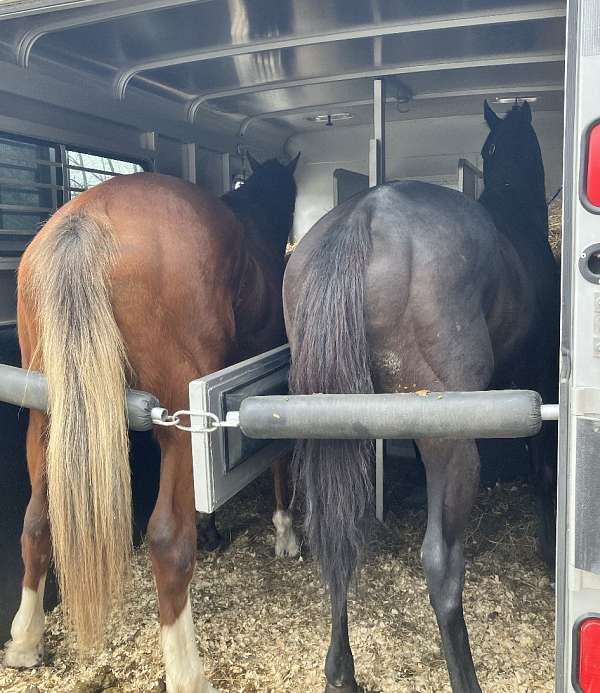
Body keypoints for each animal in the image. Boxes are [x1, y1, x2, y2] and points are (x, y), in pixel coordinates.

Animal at [4, 154, 299, 693]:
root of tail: (88, 219)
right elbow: (278, 464)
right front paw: (285, 535)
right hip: (180, 423)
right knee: (166, 542)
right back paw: (188, 673)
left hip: (44, 418)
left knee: (37, 522)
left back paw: (25, 641)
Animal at [283, 100, 559, 693]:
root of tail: (363, 216)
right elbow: (544, 470)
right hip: (452, 447)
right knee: (441, 564)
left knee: (336, 541)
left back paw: (341, 672)